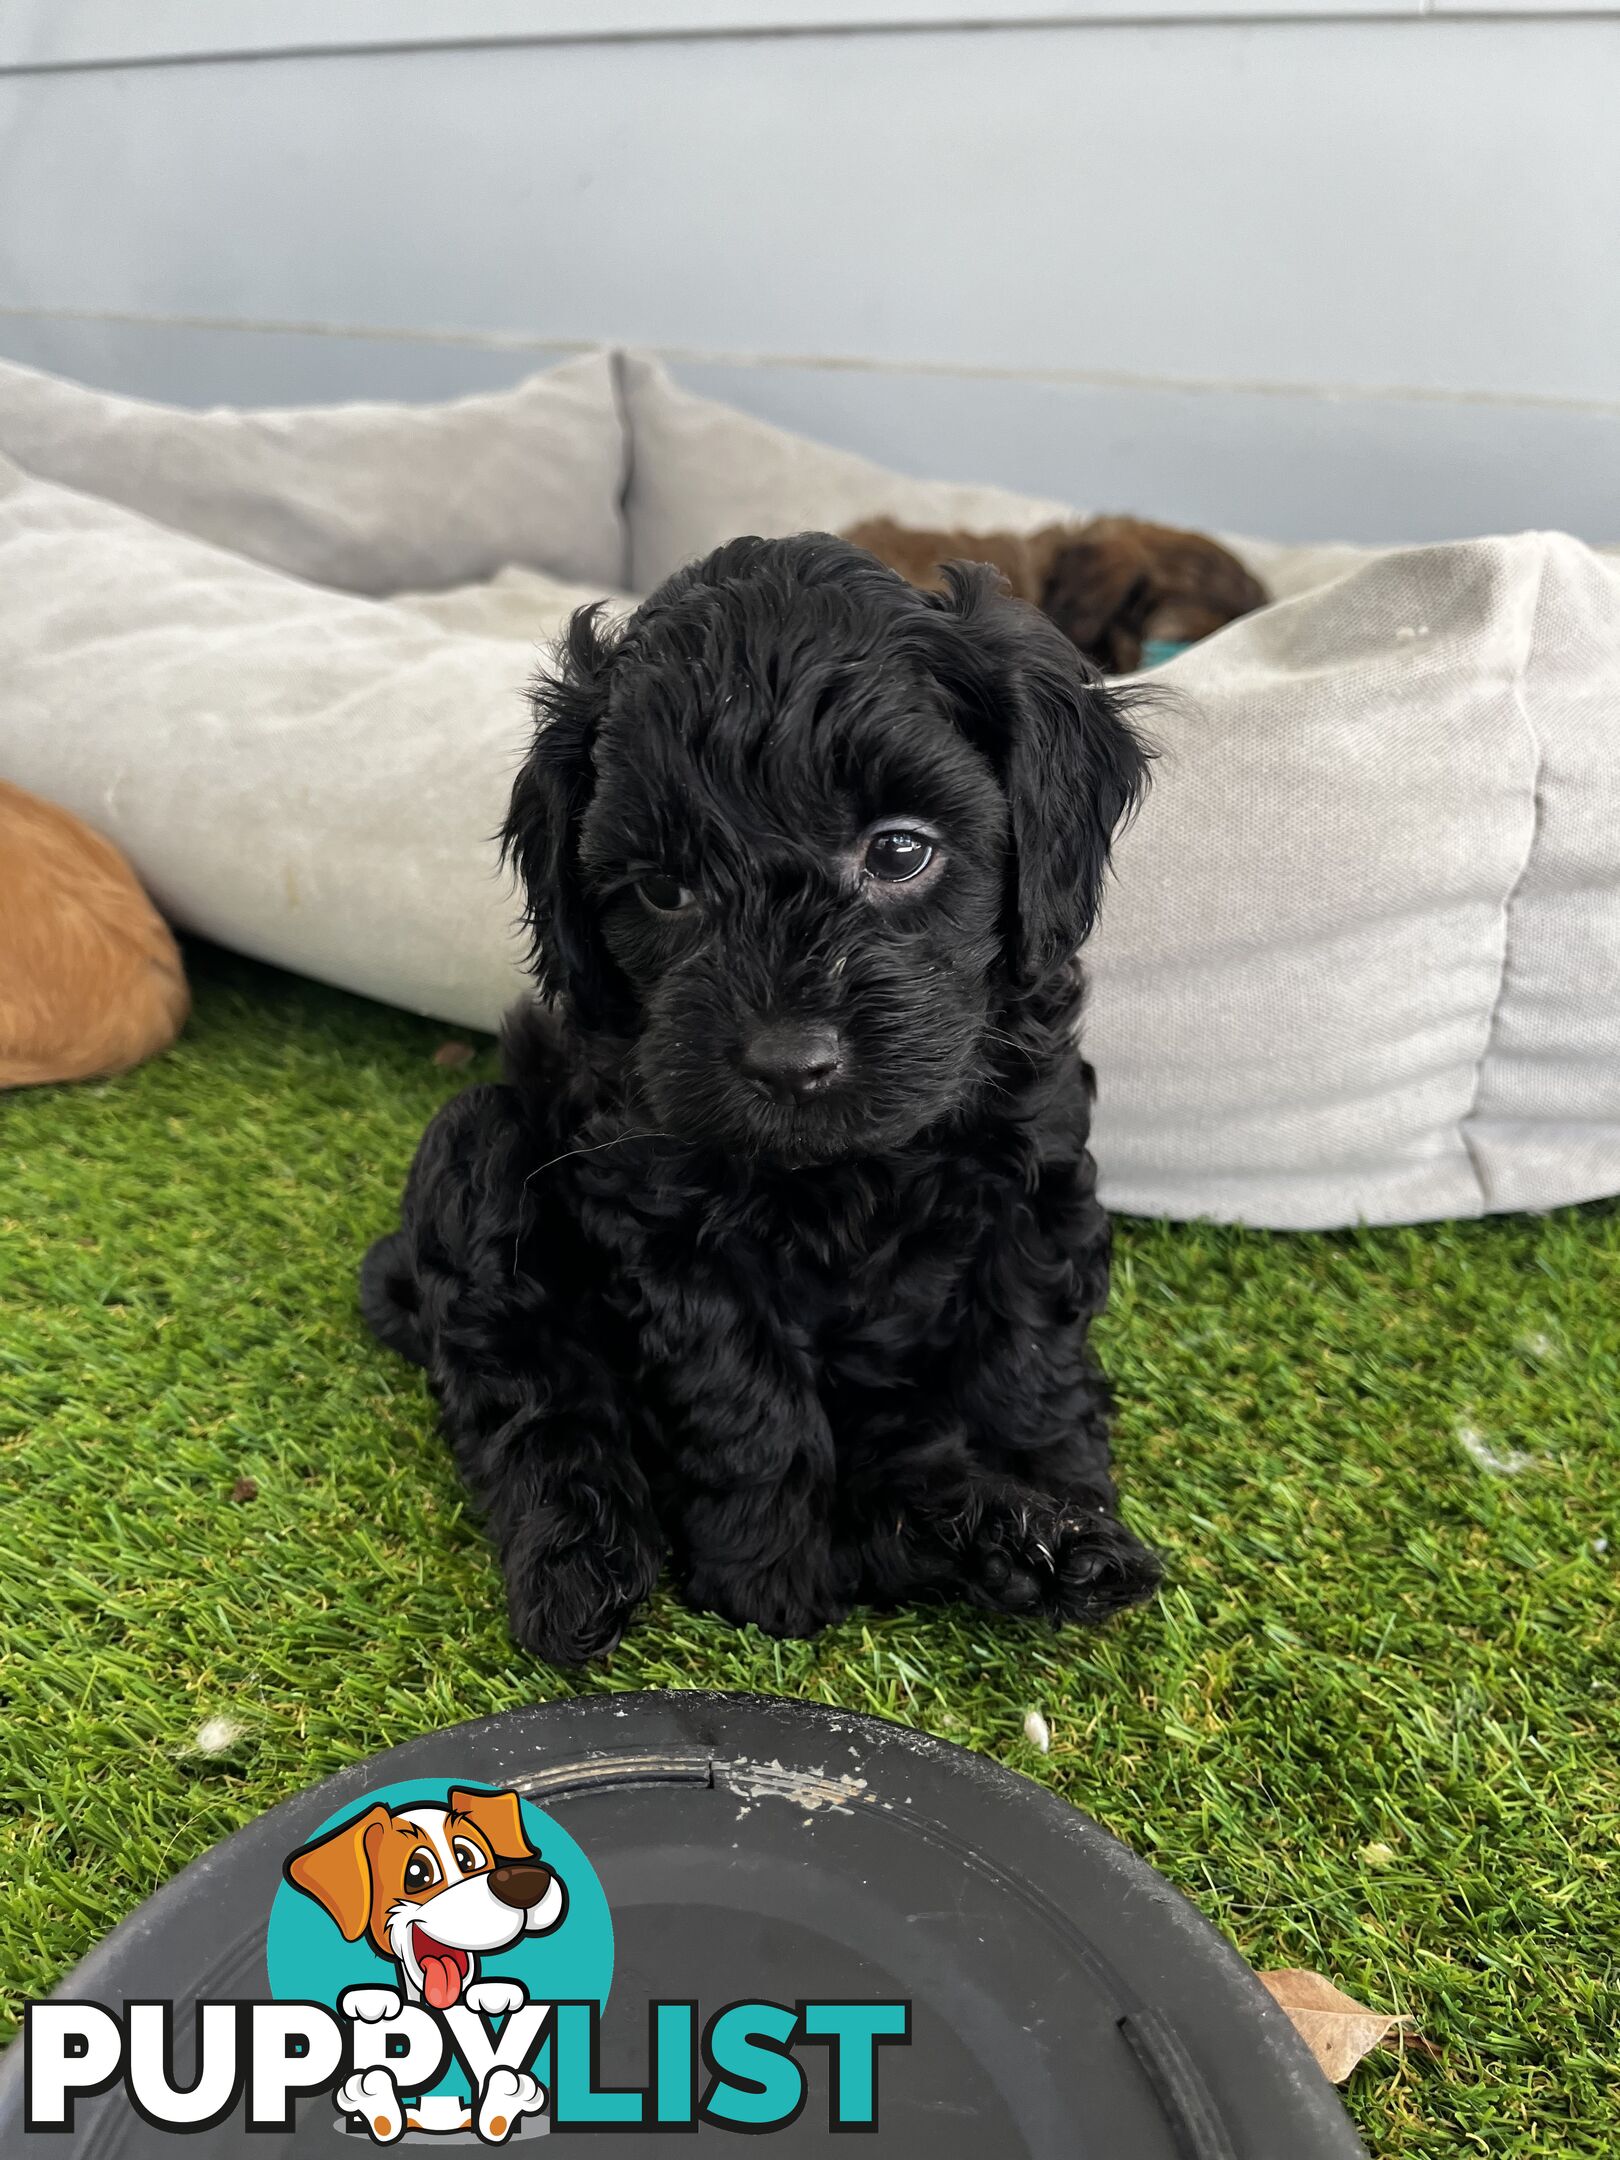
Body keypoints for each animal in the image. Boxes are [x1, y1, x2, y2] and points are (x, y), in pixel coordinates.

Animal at [360, 531, 1157, 1658]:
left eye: (900, 849)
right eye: (663, 889)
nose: (788, 1061)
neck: (849, 1172)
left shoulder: (1035, 1168)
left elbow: (1028, 1351)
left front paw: (1066, 1502)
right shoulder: (667, 1221)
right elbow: (745, 1399)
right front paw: (766, 1578)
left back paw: (1014, 1545)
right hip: (483, 1146)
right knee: (525, 1385)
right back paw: (580, 1568)